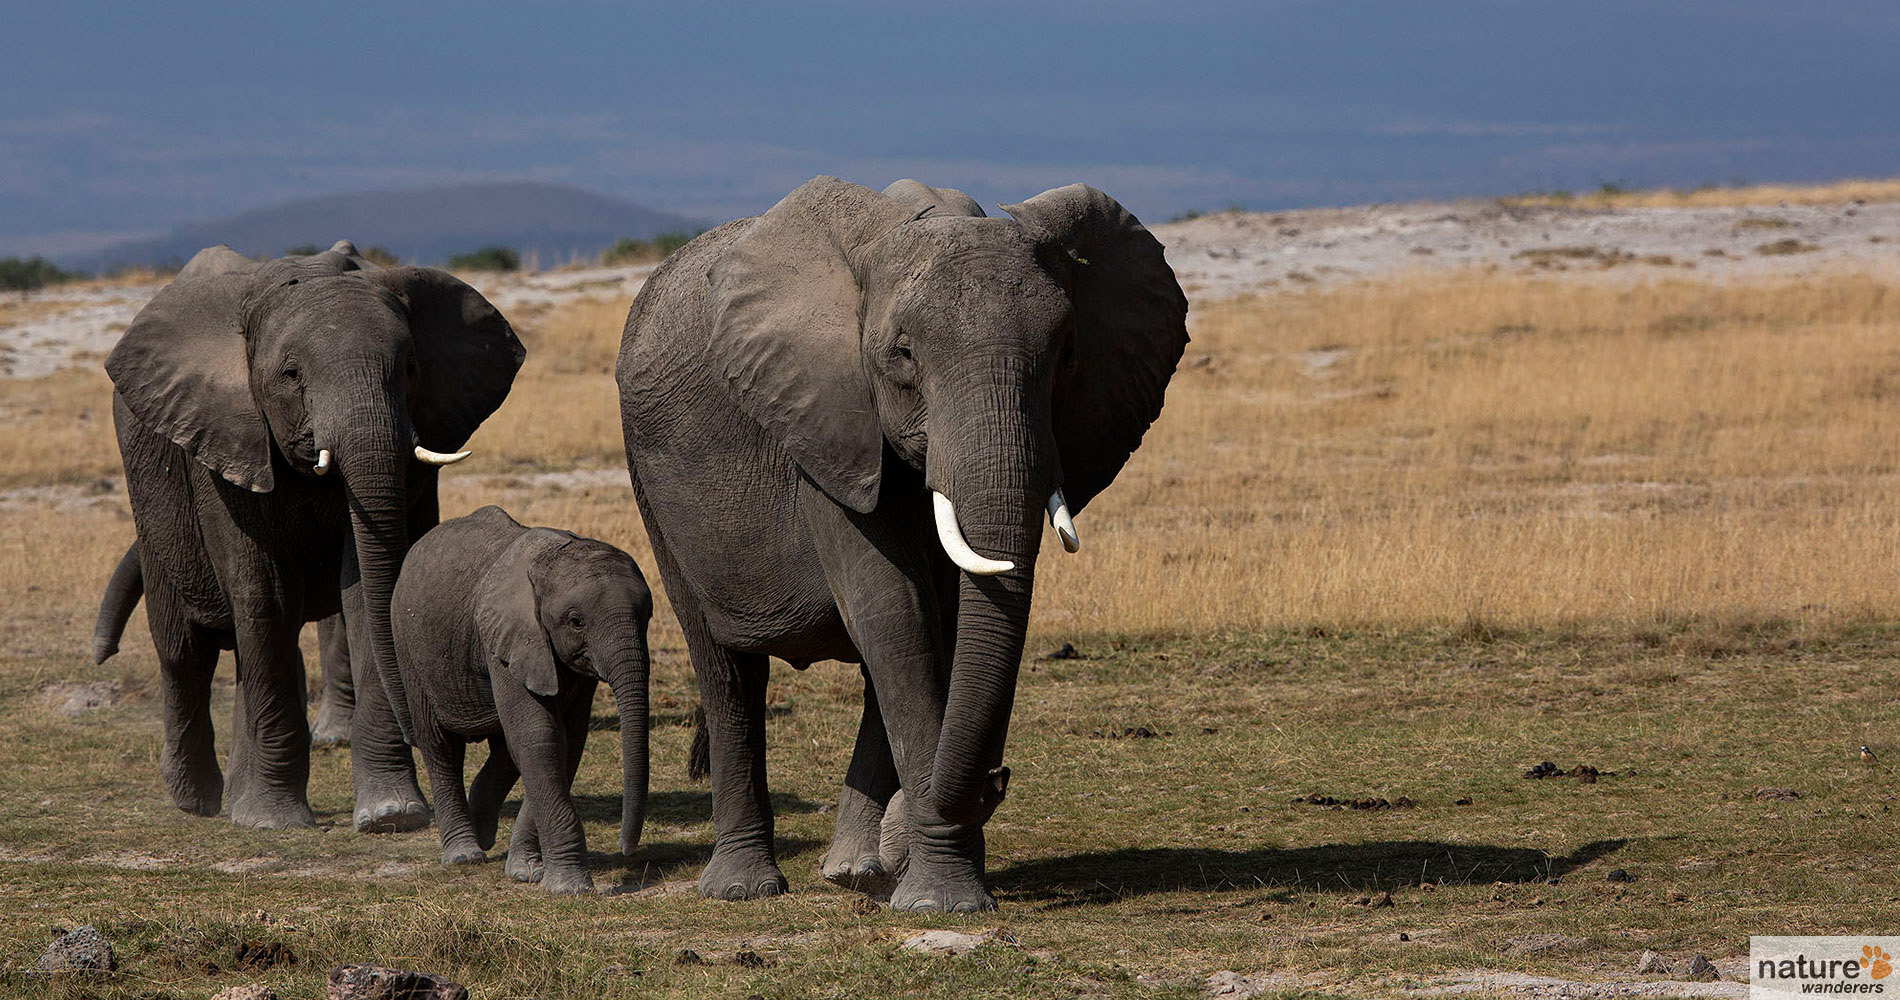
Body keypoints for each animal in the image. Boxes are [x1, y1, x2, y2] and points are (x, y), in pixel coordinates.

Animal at [92, 241, 524, 832]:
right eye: (292, 373)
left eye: (411, 367)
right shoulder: (226, 441)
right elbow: (266, 597)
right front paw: (273, 823)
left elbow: (367, 589)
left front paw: (391, 815)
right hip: (150, 494)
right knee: (184, 649)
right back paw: (197, 801)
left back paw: (234, 801)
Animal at [387, 509, 653, 893]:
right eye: (576, 622)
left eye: (647, 617)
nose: (625, 849)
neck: (553, 559)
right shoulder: (507, 640)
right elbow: (538, 736)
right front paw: (569, 888)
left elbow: (566, 742)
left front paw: (528, 872)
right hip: (409, 649)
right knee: (440, 747)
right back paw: (465, 854)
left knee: (504, 747)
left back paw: (483, 830)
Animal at [619, 176, 1185, 912]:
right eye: (904, 355)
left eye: (1067, 353)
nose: (996, 780)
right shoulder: (826, 422)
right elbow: (894, 611)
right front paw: (941, 900)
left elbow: (939, 622)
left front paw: (923, 881)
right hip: (650, 484)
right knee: (725, 668)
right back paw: (744, 888)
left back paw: (852, 870)